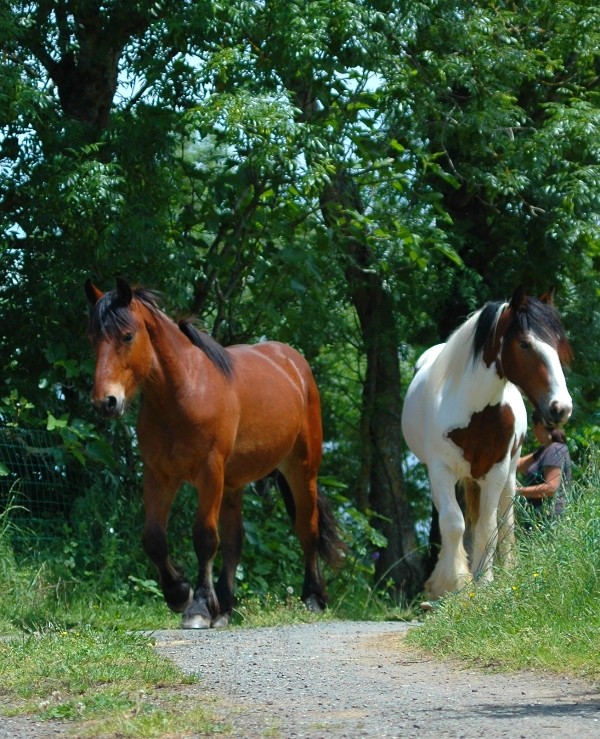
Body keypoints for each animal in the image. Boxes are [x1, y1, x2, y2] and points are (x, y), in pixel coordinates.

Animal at [84, 278, 342, 632]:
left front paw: (199, 607)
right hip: (234, 483)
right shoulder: (158, 475)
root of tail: (294, 364)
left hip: (302, 470)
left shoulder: (209, 474)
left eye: (127, 336)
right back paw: (226, 609)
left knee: (307, 529)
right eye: (94, 339)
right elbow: (154, 538)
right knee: (235, 542)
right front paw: (179, 593)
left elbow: (205, 537)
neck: (182, 395)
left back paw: (313, 598)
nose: (105, 402)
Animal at [404, 286, 572, 600]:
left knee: (505, 520)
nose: (561, 408)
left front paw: (485, 581)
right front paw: (452, 584)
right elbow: (453, 523)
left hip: (508, 475)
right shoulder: (440, 470)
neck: (474, 412)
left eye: (558, 345)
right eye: (524, 344)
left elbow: (489, 525)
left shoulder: (496, 471)